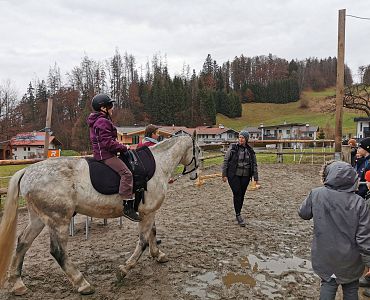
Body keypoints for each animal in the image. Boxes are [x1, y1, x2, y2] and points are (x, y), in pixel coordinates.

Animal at [0, 135, 199, 296]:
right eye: (197, 150)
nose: (195, 175)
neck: (157, 164)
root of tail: (27, 171)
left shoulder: (146, 212)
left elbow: (153, 232)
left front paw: (158, 255)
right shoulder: (148, 212)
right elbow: (142, 242)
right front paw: (124, 270)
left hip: (39, 219)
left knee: (23, 242)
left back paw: (18, 284)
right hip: (58, 220)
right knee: (58, 251)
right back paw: (83, 284)